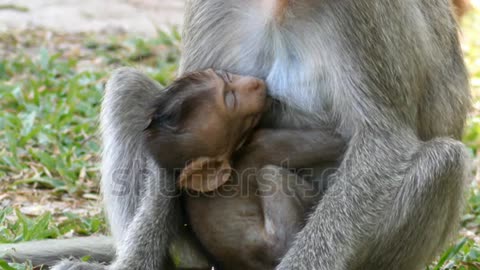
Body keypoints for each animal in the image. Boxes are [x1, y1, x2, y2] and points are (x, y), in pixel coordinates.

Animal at [144, 69, 344, 270]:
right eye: (231, 99)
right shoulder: (261, 145)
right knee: (271, 174)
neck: (234, 152)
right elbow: (337, 141)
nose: (254, 84)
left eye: (226, 77)